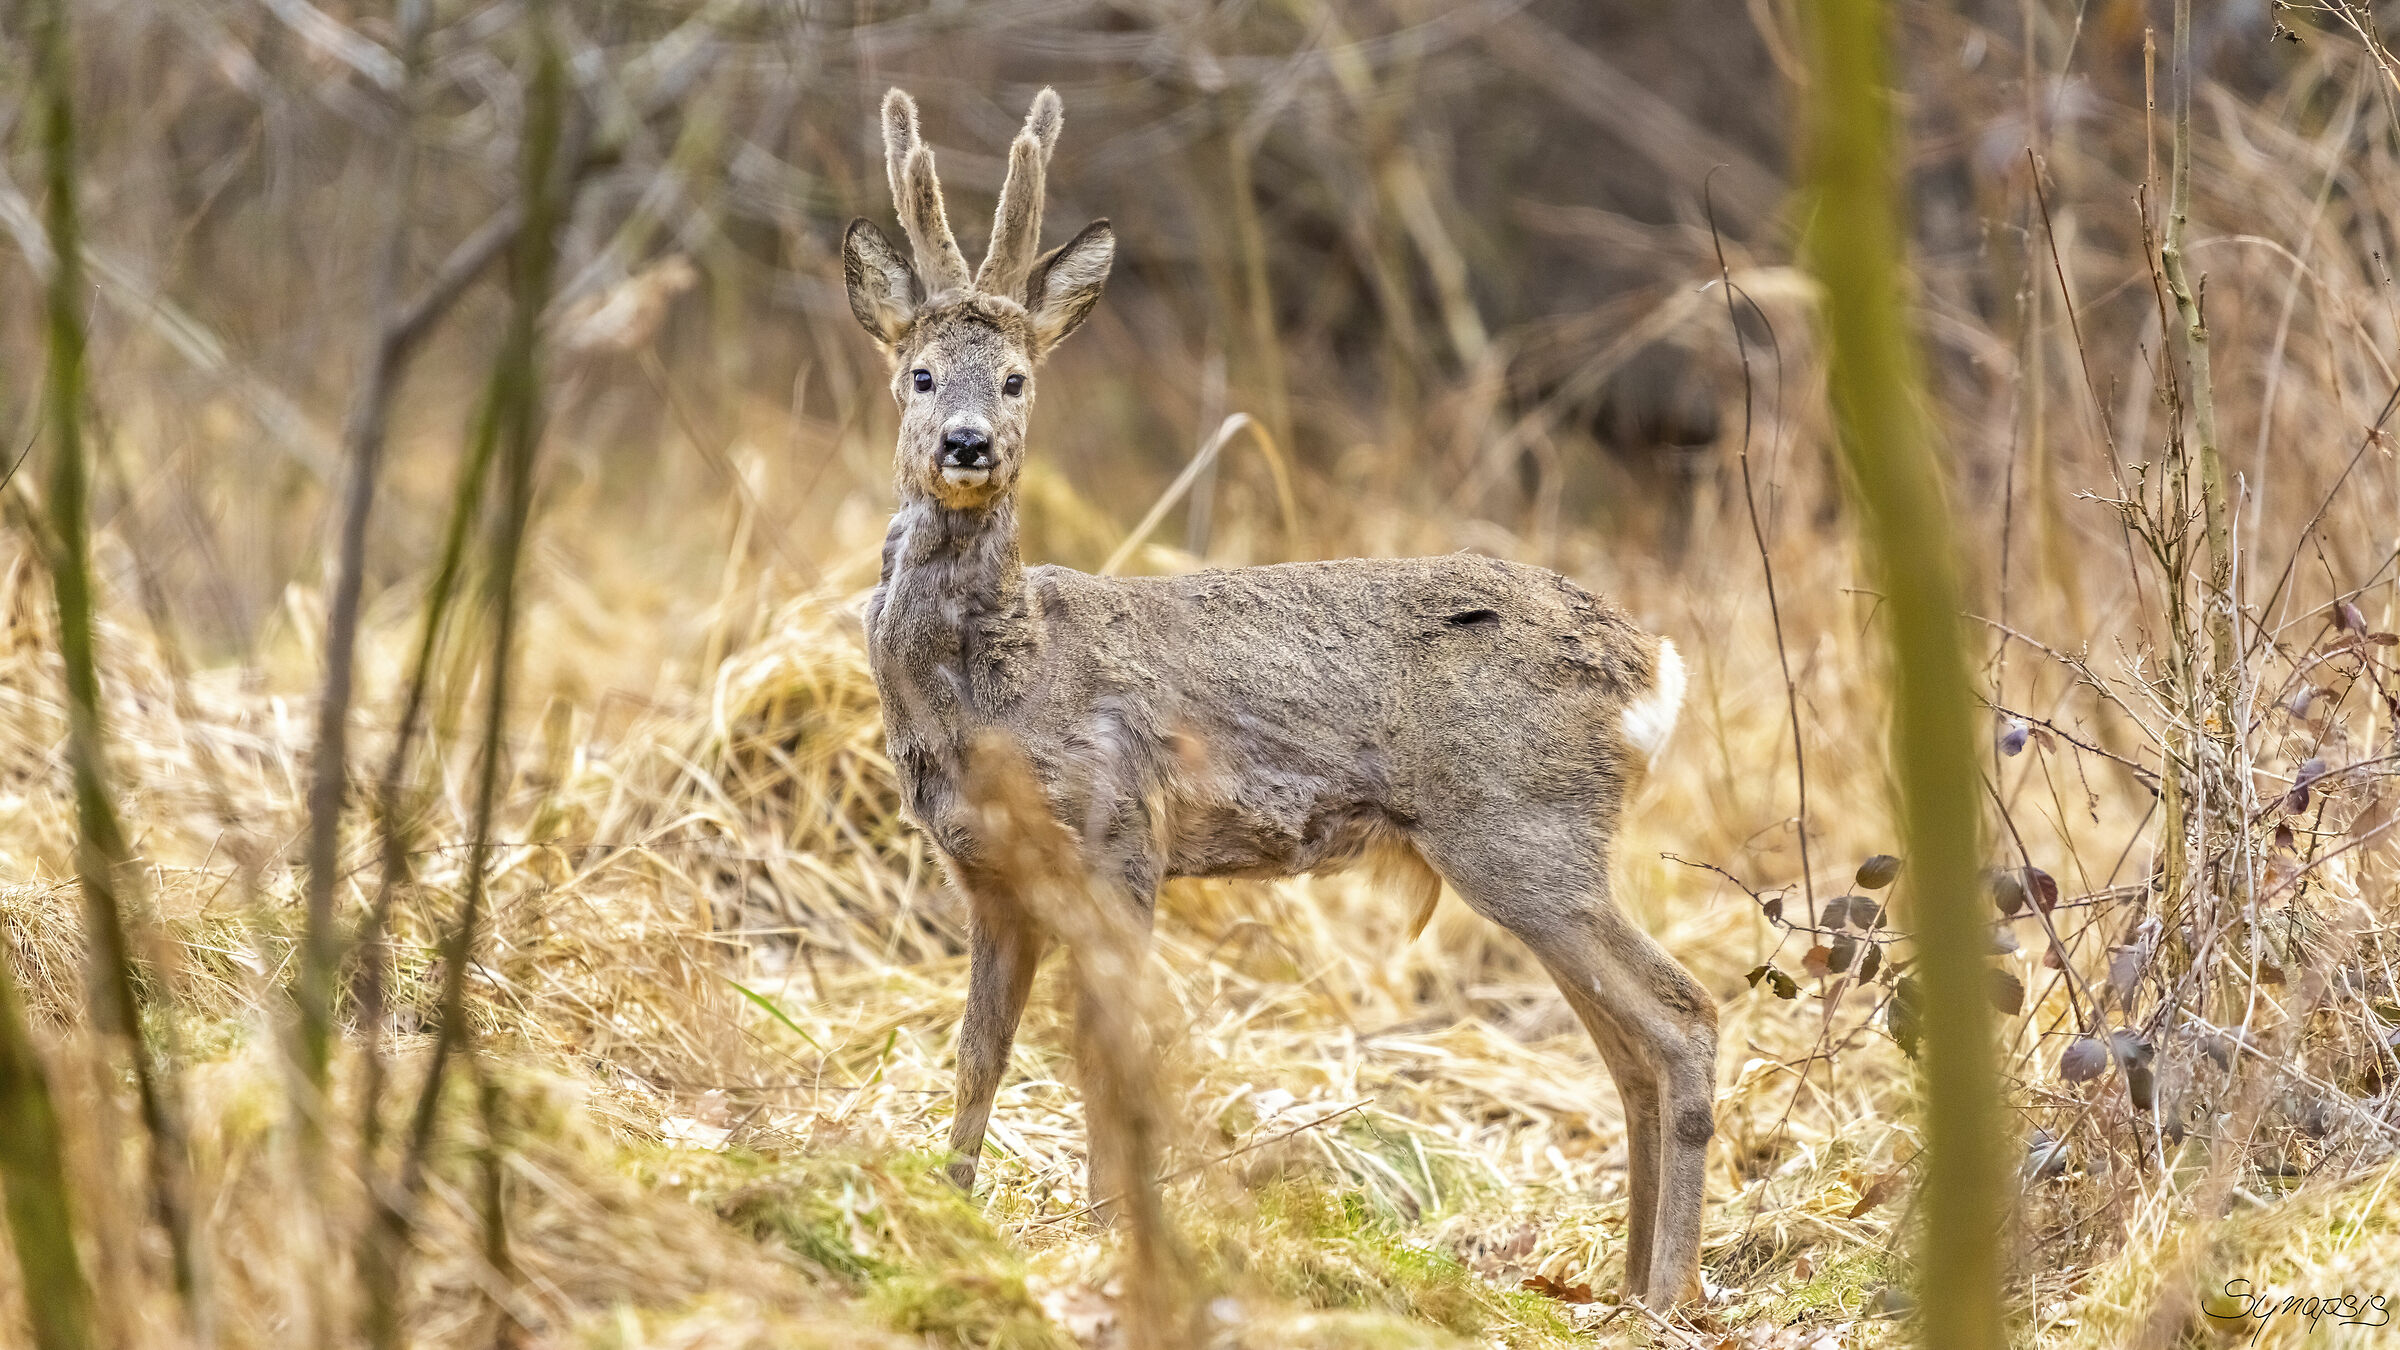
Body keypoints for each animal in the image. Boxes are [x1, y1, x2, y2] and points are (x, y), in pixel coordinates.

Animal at [841, 86, 1717, 1308]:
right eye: (919, 375)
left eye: (1017, 379)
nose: (968, 444)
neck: (1000, 692)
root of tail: (1652, 665)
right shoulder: (991, 879)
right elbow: (980, 1053)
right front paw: (957, 1211)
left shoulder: (1121, 841)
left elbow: (1111, 1053)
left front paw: (1115, 1232)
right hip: (1536, 853)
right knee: (1627, 1049)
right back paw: (1626, 1283)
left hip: (1522, 829)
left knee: (1682, 1018)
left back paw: (1667, 1294)